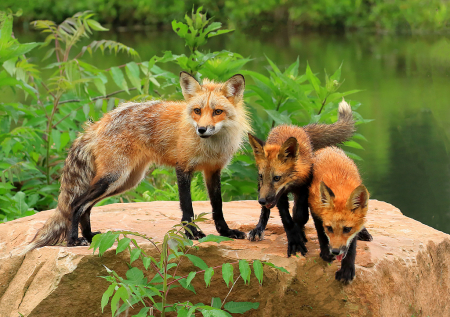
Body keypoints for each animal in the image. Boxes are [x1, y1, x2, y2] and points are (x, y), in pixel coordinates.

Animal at [23, 71, 250, 252]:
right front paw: (192, 233)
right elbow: (188, 209)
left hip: (125, 181)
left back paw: (88, 237)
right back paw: (73, 240)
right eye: (197, 111)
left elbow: (218, 207)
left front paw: (226, 231)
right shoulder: (183, 168)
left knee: (86, 208)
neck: (211, 146)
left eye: (217, 112)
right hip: (113, 178)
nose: (201, 129)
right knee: (76, 205)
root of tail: (98, 123)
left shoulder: (213, 170)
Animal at [248, 99, 370, 256]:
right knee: (265, 212)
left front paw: (300, 233)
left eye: (277, 178)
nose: (261, 200)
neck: (294, 182)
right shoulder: (279, 196)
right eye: (262, 176)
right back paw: (259, 229)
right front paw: (295, 240)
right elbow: (287, 220)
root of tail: (294, 126)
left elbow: (301, 215)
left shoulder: (305, 187)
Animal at [310, 147, 370, 282]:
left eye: (347, 229)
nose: (335, 251)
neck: (340, 185)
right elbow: (321, 234)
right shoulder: (315, 211)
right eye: (329, 228)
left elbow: (351, 248)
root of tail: (328, 148)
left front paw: (347, 269)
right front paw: (325, 253)